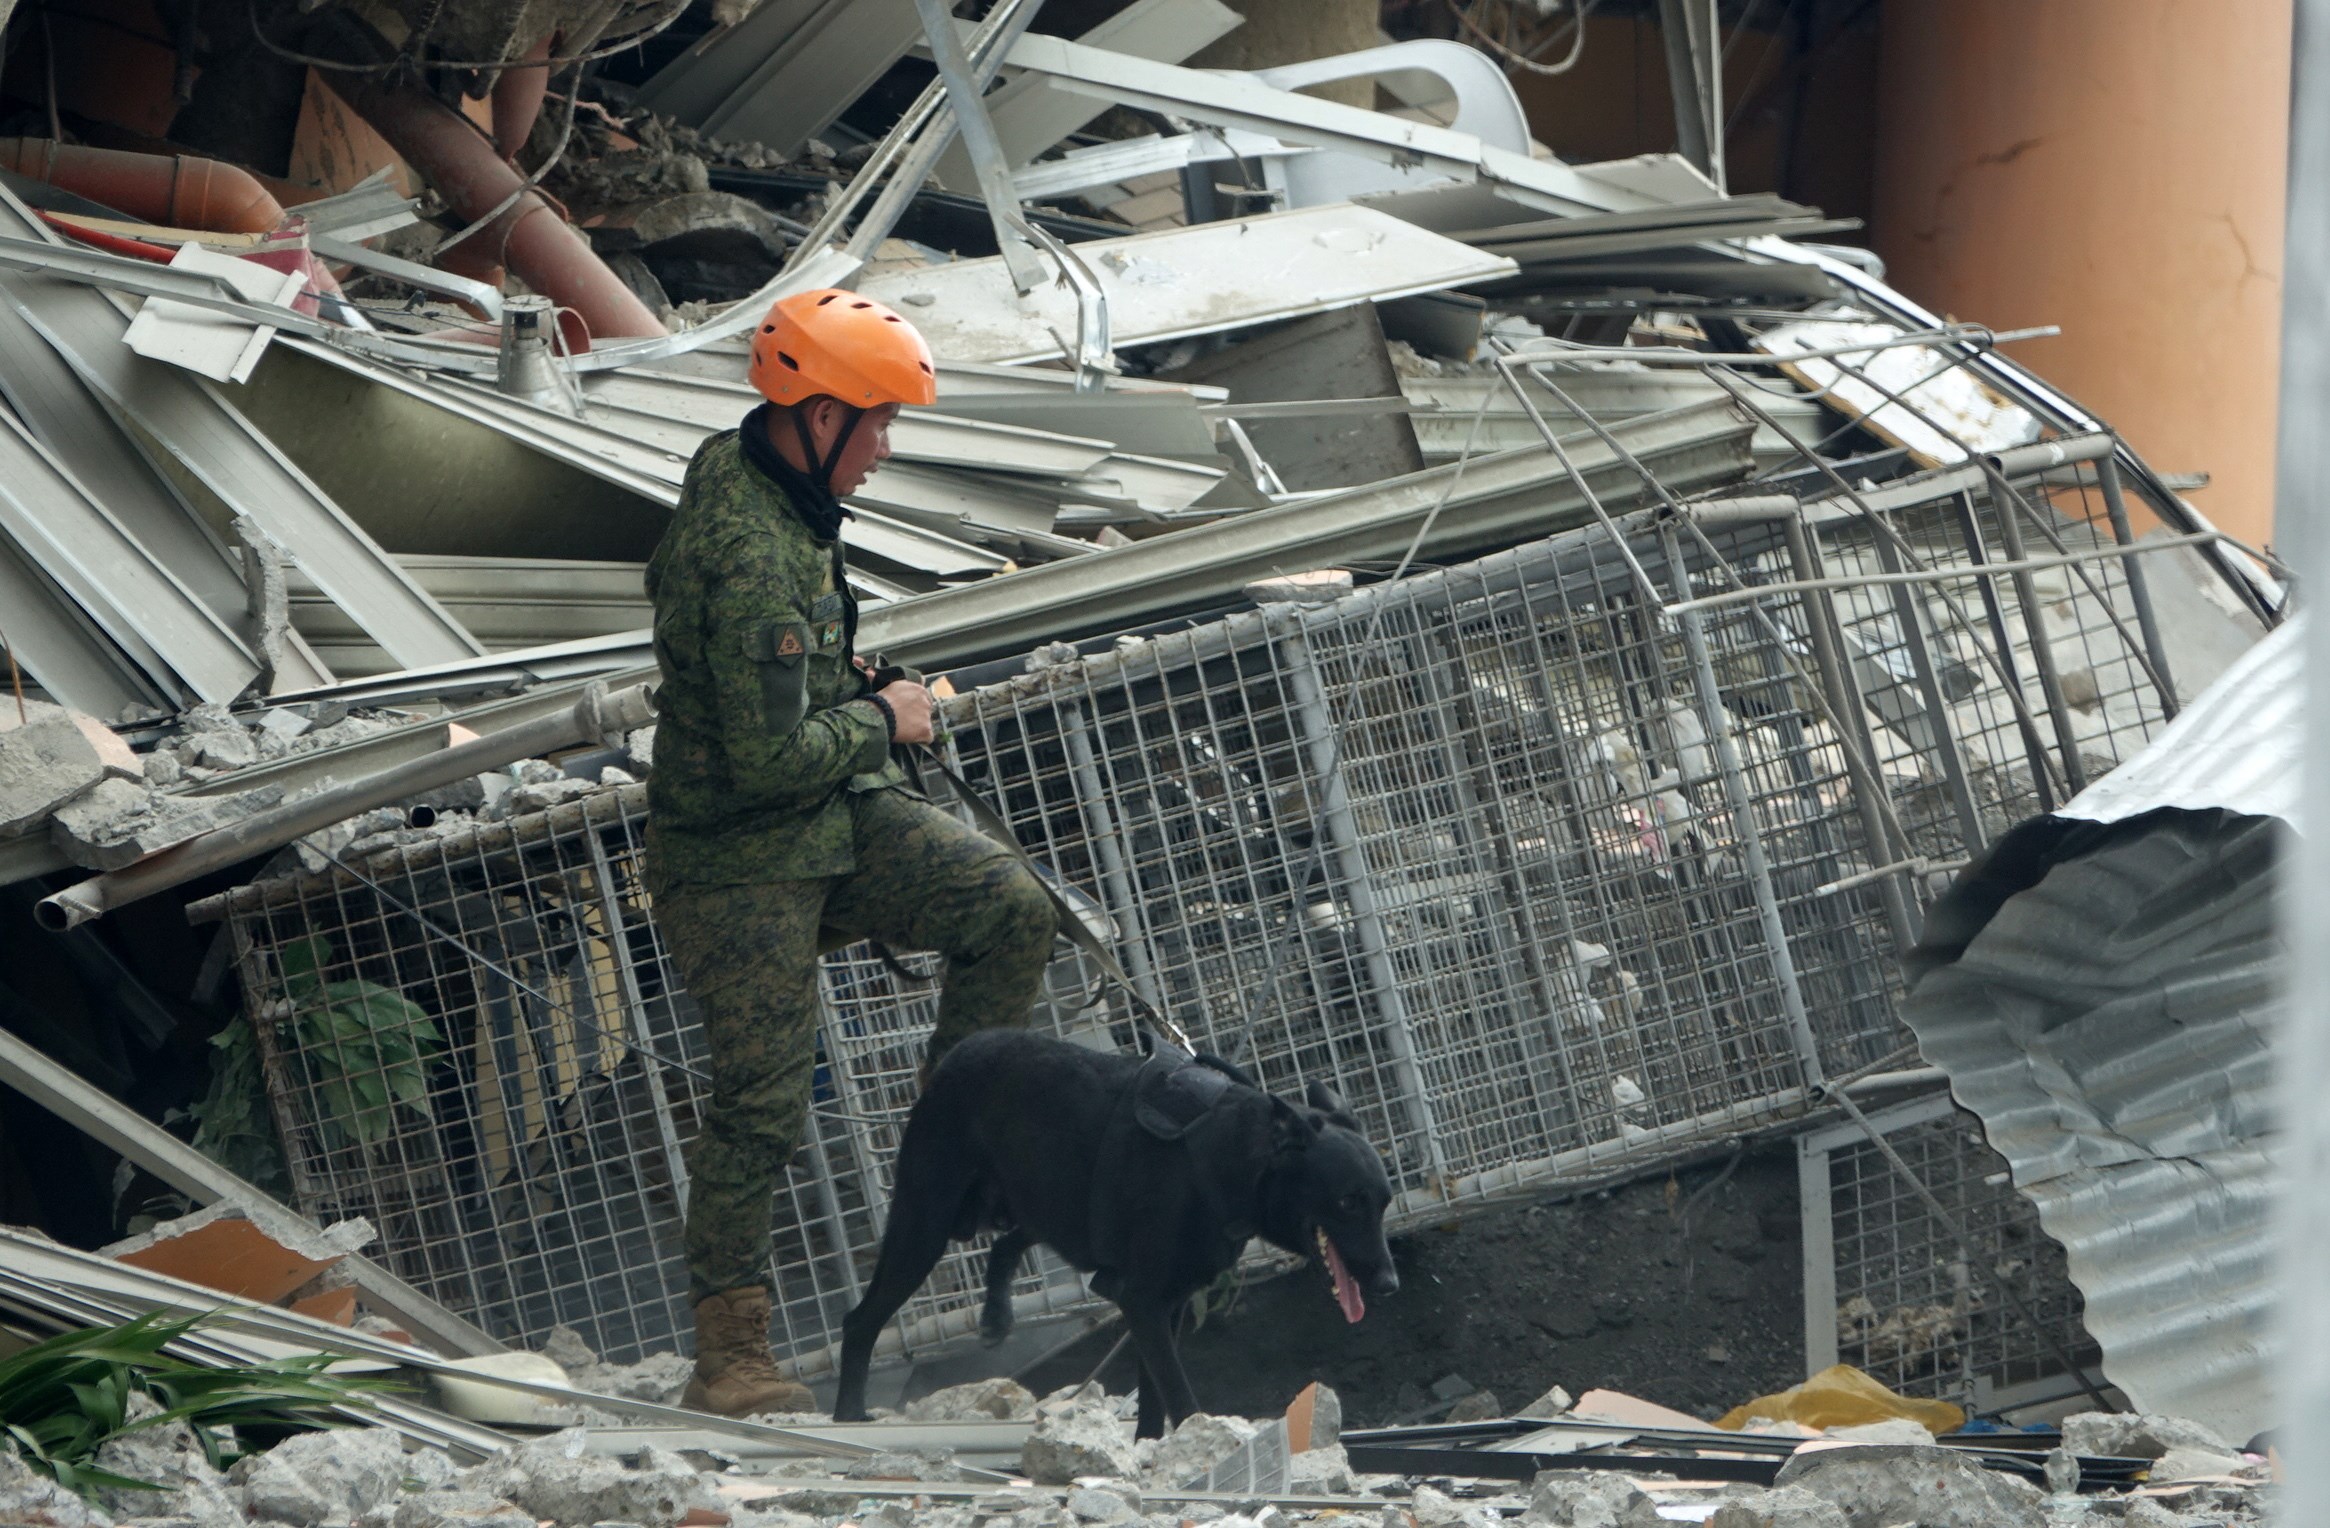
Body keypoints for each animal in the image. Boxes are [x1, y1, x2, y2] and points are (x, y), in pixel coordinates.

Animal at [829, 1024, 1388, 1434]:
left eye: (1384, 1203)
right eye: (1346, 1201)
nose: (1389, 1283)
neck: (1223, 1158)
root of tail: (960, 1051)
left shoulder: (1166, 1303)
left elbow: (1154, 1401)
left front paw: (1154, 1452)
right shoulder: (1142, 1299)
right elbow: (1177, 1394)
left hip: (1036, 1203)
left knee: (1009, 1241)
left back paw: (995, 1314)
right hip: (923, 1226)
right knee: (859, 1320)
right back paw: (849, 1414)